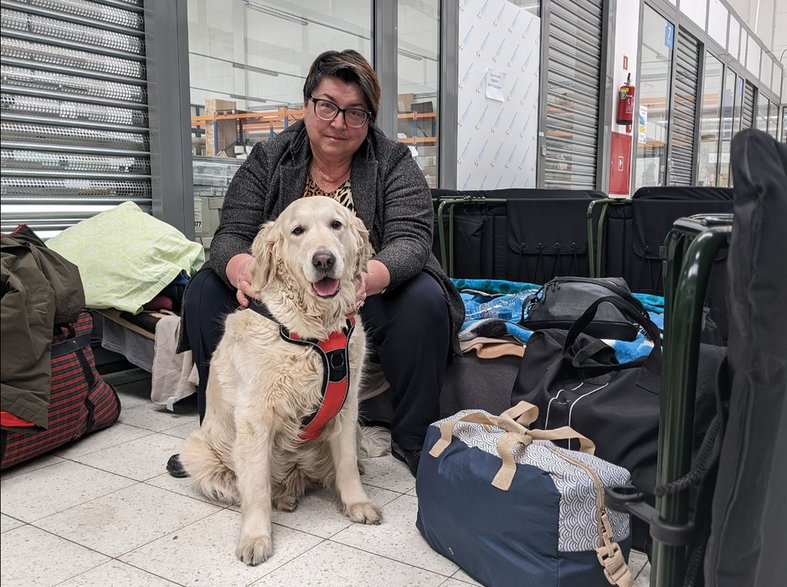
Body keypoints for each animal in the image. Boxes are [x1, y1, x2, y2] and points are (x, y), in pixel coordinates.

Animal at [182, 196, 384, 564]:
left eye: (336, 225)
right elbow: (256, 486)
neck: (314, 330)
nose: (324, 260)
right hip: (196, 451)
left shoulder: (347, 407)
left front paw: (357, 503)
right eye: (297, 231)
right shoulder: (254, 417)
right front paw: (256, 537)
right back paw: (281, 497)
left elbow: (346, 462)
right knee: (245, 483)